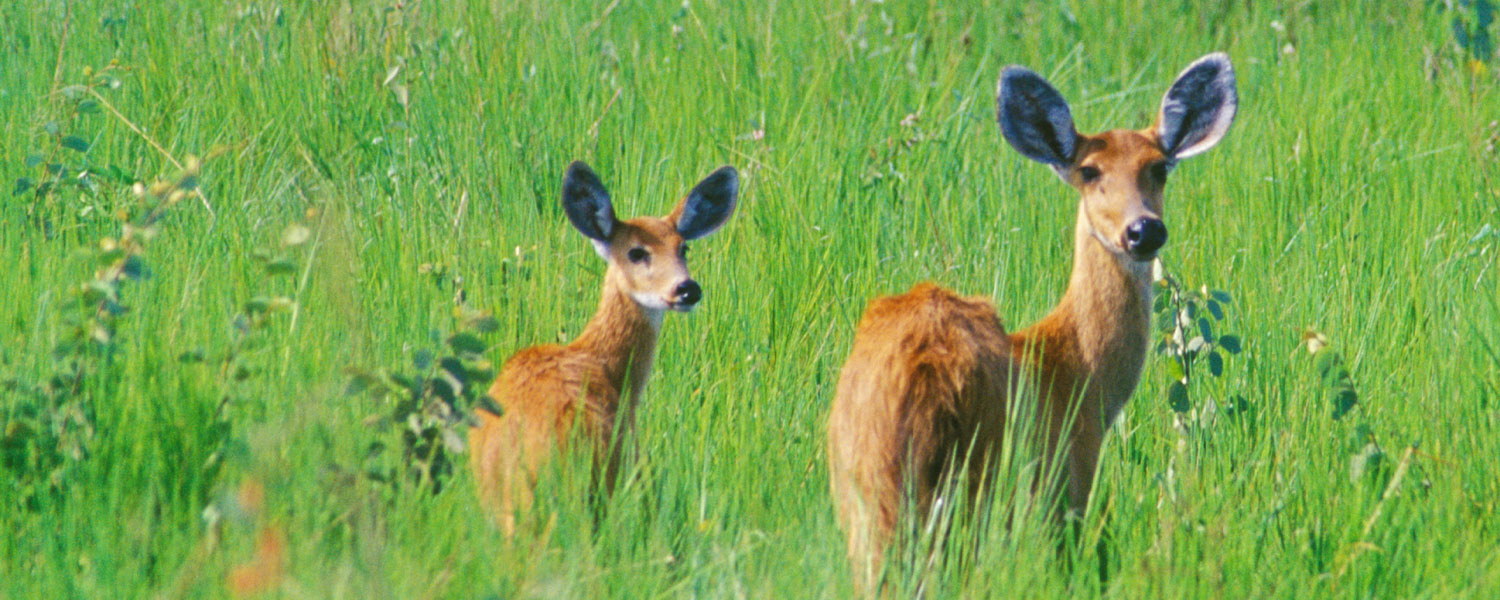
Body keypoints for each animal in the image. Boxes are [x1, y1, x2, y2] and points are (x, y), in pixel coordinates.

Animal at [828, 54, 1236, 588]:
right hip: (981, 484)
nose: (1144, 229)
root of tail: (923, 377)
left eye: (1159, 167)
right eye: (1089, 170)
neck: (1080, 376)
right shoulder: (1069, 483)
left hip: (861, 490)